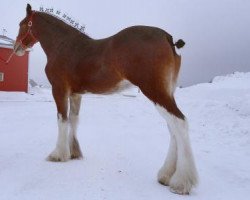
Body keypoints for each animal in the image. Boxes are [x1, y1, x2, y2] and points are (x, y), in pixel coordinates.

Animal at [13, 3, 198, 195]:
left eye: (22, 24)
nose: (16, 48)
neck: (64, 45)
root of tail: (168, 38)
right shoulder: (75, 94)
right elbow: (73, 120)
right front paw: (74, 152)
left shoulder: (59, 90)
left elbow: (62, 120)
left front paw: (58, 154)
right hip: (166, 92)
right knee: (173, 128)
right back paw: (166, 176)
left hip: (155, 91)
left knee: (180, 123)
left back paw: (181, 182)